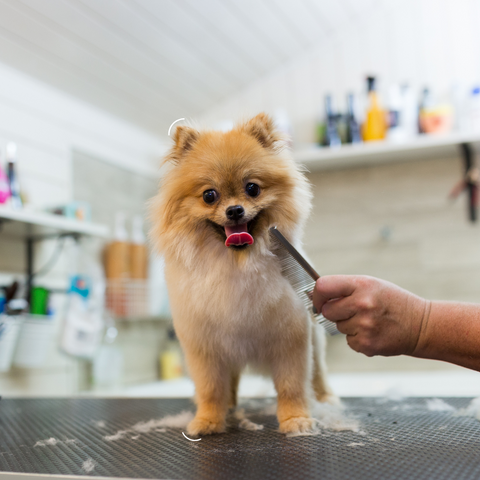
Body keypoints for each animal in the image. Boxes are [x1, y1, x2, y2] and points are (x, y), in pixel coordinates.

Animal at [152, 114, 336, 436]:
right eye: (209, 195)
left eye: (252, 188)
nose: (235, 210)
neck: (237, 264)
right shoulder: (206, 347)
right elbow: (211, 388)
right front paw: (208, 420)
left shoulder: (290, 339)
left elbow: (292, 385)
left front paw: (295, 420)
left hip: (316, 338)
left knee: (318, 373)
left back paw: (326, 398)